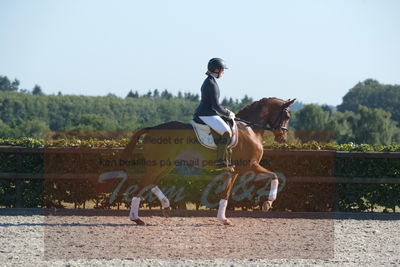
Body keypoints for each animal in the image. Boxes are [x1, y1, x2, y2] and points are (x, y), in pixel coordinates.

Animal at [101, 97, 294, 225]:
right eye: (287, 116)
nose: (282, 138)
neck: (250, 129)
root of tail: (152, 128)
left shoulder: (234, 171)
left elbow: (225, 194)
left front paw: (223, 218)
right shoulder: (250, 166)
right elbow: (275, 176)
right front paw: (268, 203)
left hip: (165, 165)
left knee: (149, 183)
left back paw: (165, 206)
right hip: (159, 165)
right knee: (142, 185)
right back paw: (136, 218)